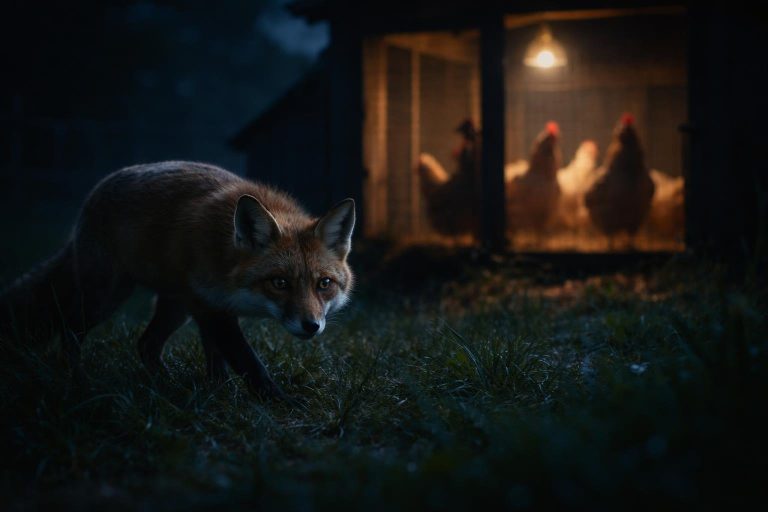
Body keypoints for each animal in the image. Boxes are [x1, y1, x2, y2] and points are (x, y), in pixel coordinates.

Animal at [0, 161, 356, 399]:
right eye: (279, 283)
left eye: (324, 284)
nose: (311, 326)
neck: (226, 255)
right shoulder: (211, 307)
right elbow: (247, 362)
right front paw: (278, 401)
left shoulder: (210, 306)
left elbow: (218, 359)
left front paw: (218, 393)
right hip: (106, 297)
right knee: (69, 331)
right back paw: (79, 382)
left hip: (176, 306)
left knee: (145, 345)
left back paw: (164, 384)